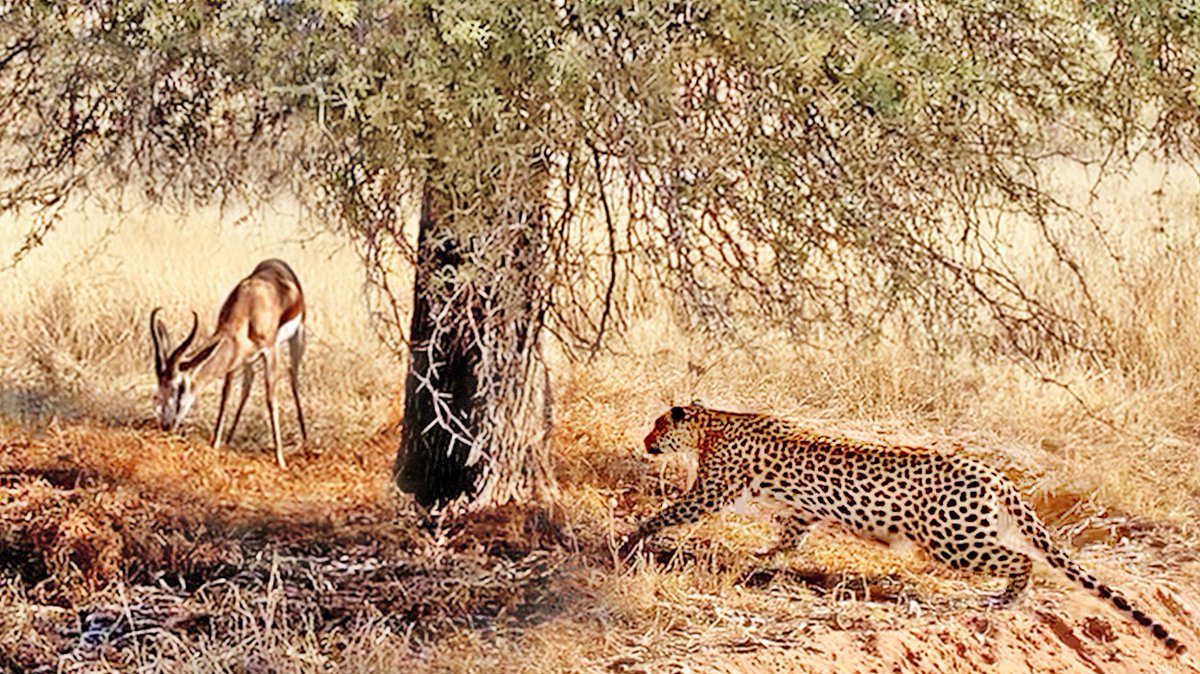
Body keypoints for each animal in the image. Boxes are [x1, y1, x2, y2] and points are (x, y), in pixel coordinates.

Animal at [619, 404, 1186, 654]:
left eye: (656, 426)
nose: (644, 441)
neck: (712, 423)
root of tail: (995, 473)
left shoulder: (709, 493)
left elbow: (667, 512)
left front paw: (632, 536)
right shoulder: (801, 512)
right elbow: (790, 533)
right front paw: (767, 557)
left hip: (955, 540)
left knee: (1021, 558)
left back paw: (1007, 597)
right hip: (967, 534)